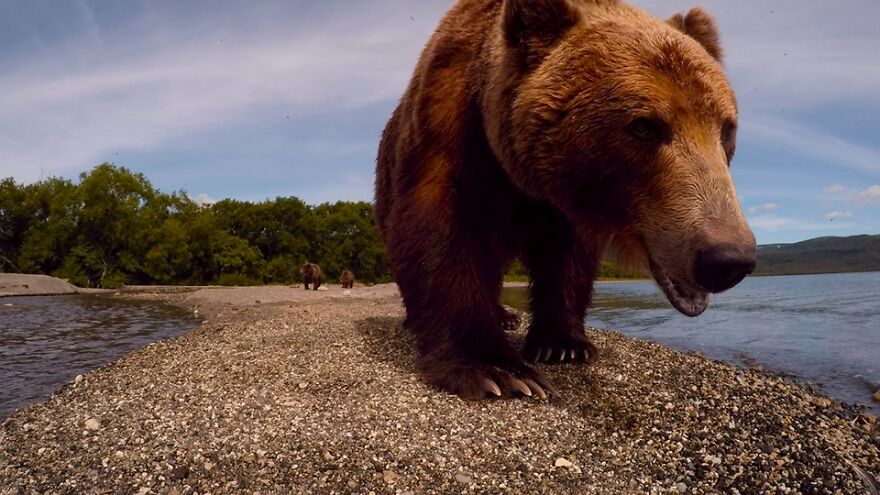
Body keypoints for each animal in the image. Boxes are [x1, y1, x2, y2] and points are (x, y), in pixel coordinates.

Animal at [374, 0, 756, 400]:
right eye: (644, 126)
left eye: (726, 128)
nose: (728, 257)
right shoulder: (447, 130)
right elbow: (442, 234)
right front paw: (497, 371)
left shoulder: (566, 209)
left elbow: (568, 260)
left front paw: (561, 345)